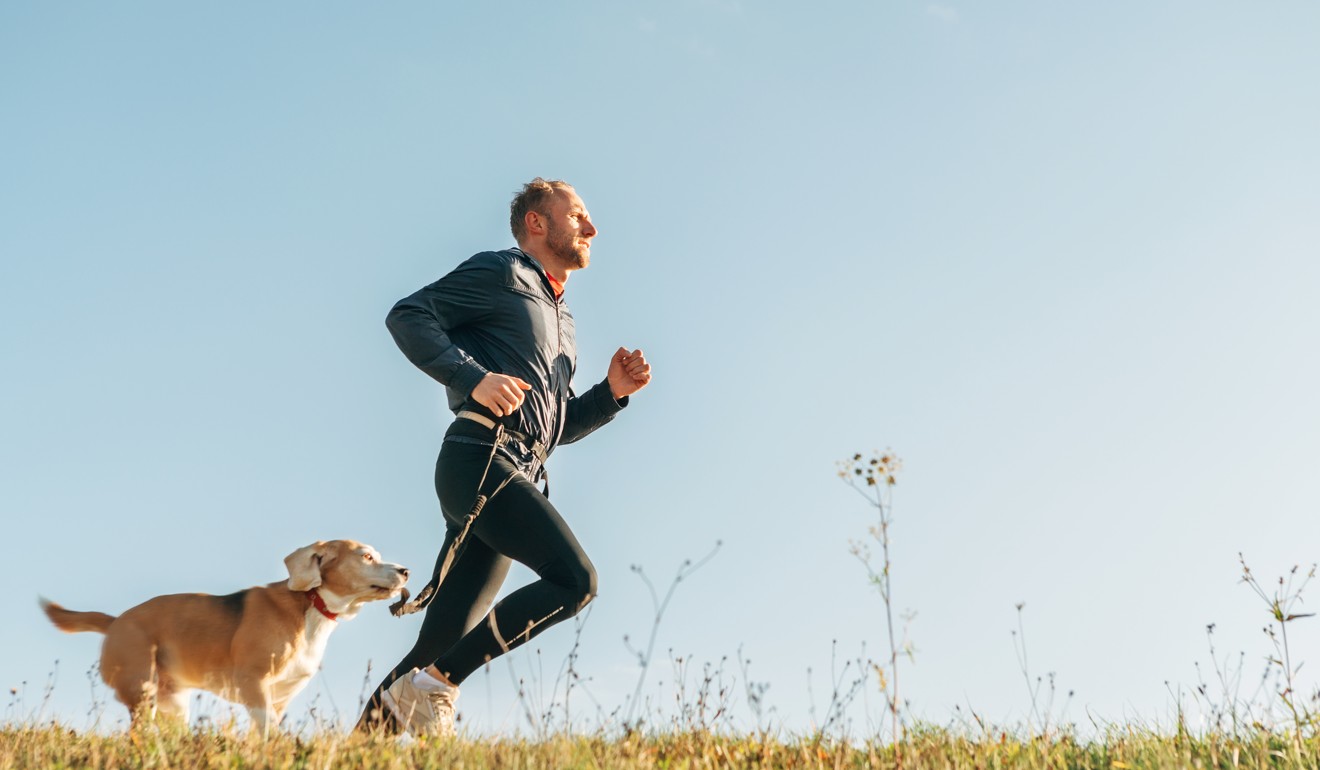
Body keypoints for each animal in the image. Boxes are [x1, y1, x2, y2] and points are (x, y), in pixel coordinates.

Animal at [42, 538, 406, 734]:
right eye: (366, 556)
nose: (406, 571)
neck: (312, 605)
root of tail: (116, 621)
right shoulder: (253, 683)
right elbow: (267, 732)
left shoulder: (278, 699)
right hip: (142, 692)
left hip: (173, 703)